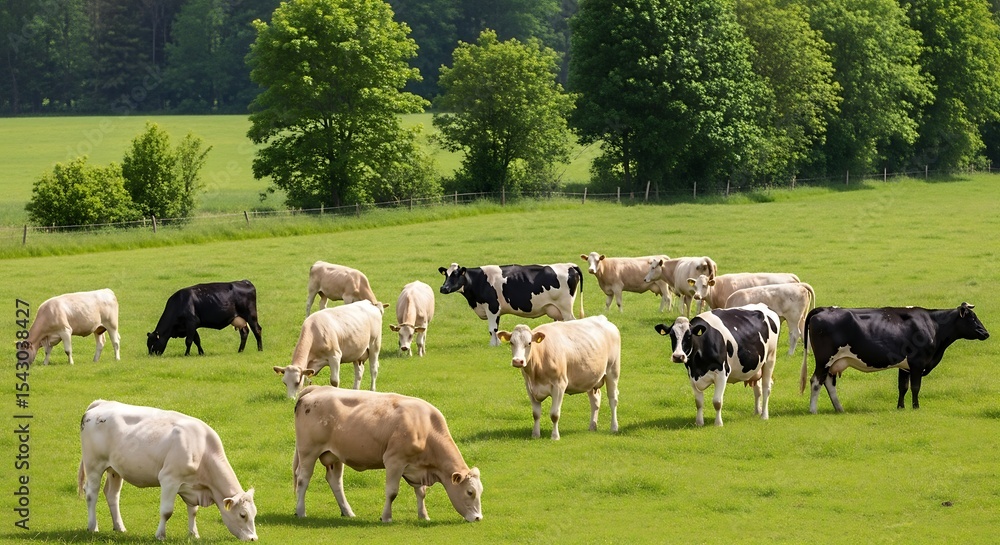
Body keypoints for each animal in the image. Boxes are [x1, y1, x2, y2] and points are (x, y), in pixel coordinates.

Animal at [78, 400, 258, 541]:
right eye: (243, 515)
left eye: (254, 514)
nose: (253, 538)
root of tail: (102, 403)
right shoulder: (169, 479)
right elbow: (166, 511)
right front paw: (160, 535)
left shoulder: (191, 486)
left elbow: (193, 511)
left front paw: (194, 534)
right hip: (93, 464)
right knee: (91, 494)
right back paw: (93, 527)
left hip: (114, 469)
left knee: (112, 494)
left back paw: (119, 527)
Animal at [292, 385, 484, 522]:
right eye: (470, 492)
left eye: (480, 491)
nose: (478, 518)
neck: (426, 428)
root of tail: (318, 388)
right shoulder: (394, 461)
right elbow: (392, 492)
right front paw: (386, 517)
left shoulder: (417, 467)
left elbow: (421, 492)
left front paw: (424, 515)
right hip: (308, 451)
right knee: (303, 479)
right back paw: (301, 512)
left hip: (335, 455)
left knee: (335, 481)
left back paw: (347, 512)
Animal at [438, 262, 584, 346]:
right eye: (446, 275)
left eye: (456, 274)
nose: (443, 288)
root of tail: (570, 265)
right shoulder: (496, 310)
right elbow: (496, 329)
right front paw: (496, 343)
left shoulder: (491, 307)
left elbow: (492, 329)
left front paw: (493, 345)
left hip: (565, 307)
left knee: (572, 321)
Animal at [800, 302, 990, 414]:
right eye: (973, 318)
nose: (986, 333)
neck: (932, 324)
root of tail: (826, 308)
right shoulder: (917, 363)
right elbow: (915, 387)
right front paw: (915, 407)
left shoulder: (904, 366)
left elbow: (902, 387)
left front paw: (900, 407)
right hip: (824, 360)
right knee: (816, 381)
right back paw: (813, 410)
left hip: (834, 362)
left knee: (828, 383)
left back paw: (840, 409)